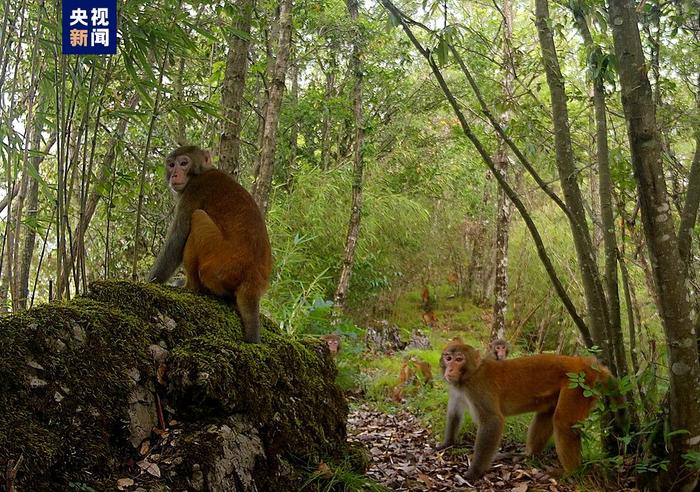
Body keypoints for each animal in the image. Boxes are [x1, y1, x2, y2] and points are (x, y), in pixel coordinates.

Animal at [148, 146, 274, 344]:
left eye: (183, 163)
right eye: (171, 164)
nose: (175, 174)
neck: (203, 172)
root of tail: (252, 281)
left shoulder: (193, 191)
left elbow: (177, 240)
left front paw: (151, 282)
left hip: (217, 265)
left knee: (198, 217)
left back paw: (191, 287)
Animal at [438, 340, 608, 478]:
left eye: (459, 359)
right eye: (448, 358)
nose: (449, 370)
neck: (470, 375)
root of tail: (582, 362)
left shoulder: (478, 389)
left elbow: (492, 421)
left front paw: (474, 472)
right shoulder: (457, 389)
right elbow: (454, 413)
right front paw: (447, 443)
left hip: (579, 386)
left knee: (563, 422)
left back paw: (571, 472)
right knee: (546, 414)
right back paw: (529, 455)